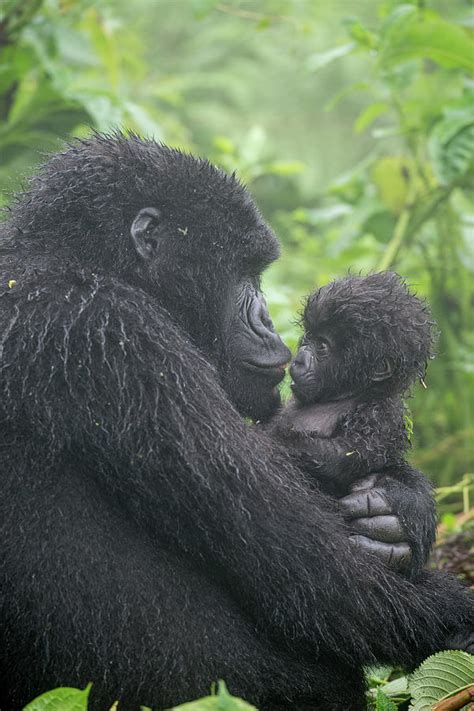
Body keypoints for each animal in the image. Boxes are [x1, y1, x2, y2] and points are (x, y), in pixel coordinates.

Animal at [270, 272, 436, 500]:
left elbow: (344, 454)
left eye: (321, 346)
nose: (298, 361)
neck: (349, 393)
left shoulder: (381, 415)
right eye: (308, 337)